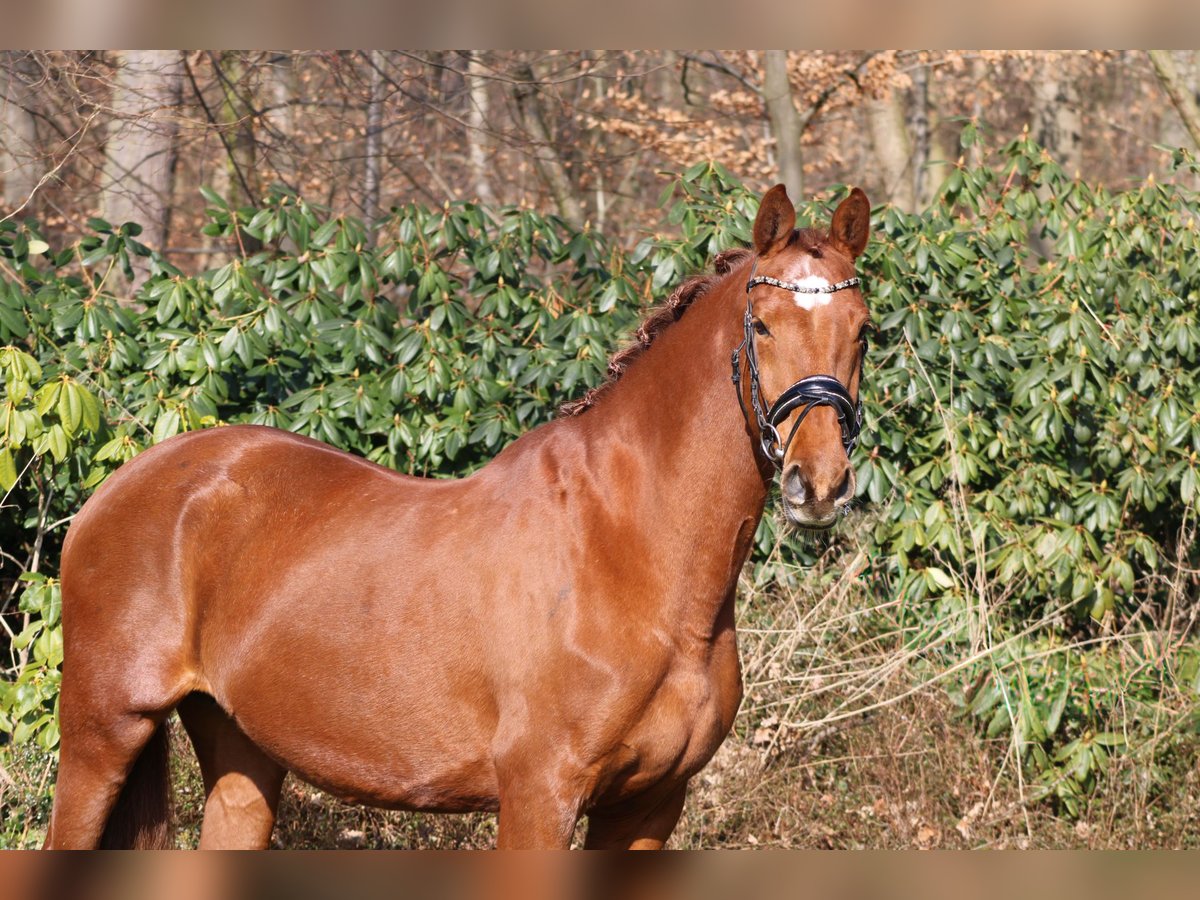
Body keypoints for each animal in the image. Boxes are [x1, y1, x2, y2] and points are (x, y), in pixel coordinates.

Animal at [44, 184, 873, 854]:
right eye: (761, 325)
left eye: (863, 328)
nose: (818, 484)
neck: (629, 550)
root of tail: (121, 489)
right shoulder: (540, 795)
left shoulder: (648, 807)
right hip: (102, 733)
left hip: (240, 750)